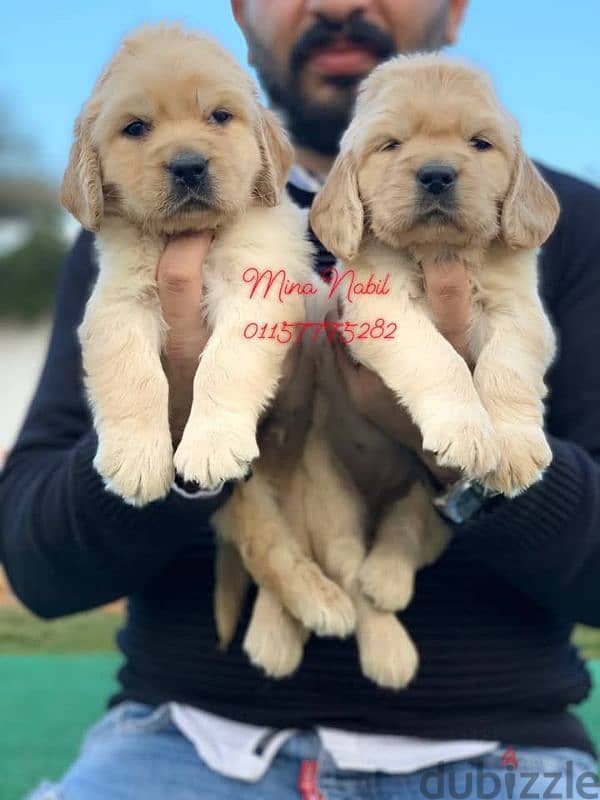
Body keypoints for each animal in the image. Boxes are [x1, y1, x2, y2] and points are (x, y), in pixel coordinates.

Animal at [59, 26, 314, 506]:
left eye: (219, 116)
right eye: (135, 128)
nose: (189, 166)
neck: (188, 234)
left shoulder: (256, 287)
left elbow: (225, 361)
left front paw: (212, 444)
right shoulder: (119, 301)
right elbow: (132, 372)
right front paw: (135, 457)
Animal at [312, 54, 560, 494]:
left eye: (480, 143)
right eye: (391, 145)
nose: (437, 175)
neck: (439, 251)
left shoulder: (520, 311)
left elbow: (506, 365)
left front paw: (514, 447)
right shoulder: (382, 310)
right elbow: (439, 358)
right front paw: (467, 433)